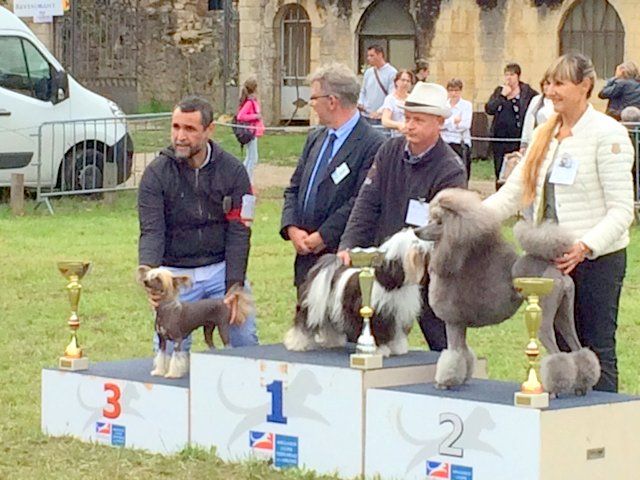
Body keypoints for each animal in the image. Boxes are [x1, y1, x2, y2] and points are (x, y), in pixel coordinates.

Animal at [282, 229, 432, 356]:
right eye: (413, 242)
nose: (422, 248)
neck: (394, 283)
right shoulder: (378, 315)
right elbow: (379, 332)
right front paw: (380, 350)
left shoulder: (398, 313)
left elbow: (397, 333)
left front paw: (398, 348)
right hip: (312, 306)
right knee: (303, 324)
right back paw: (297, 343)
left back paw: (333, 342)